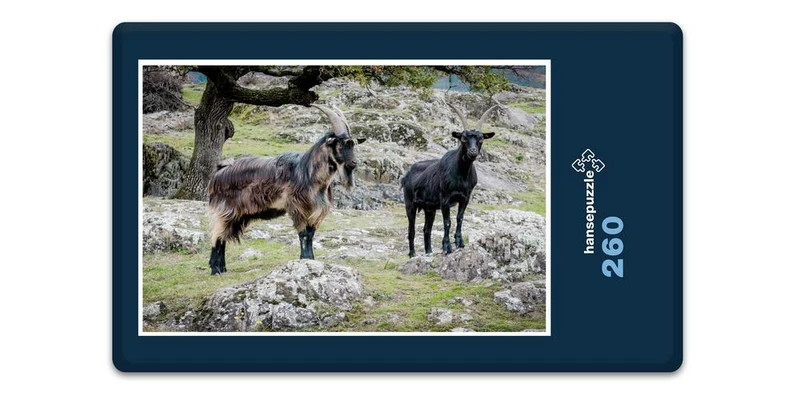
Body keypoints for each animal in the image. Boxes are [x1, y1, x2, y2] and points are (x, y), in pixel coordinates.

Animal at [206, 105, 365, 275]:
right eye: (341, 144)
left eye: (353, 144)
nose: (354, 163)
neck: (308, 173)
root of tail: (218, 173)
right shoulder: (297, 208)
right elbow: (303, 235)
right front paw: (304, 260)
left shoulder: (314, 211)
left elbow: (311, 235)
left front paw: (311, 259)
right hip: (225, 211)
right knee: (217, 236)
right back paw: (216, 269)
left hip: (238, 215)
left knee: (222, 237)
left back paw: (222, 269)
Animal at [401, 102, 499, 257]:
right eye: (463, 138)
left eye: (481, 139)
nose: (472, 152)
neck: (461, 175)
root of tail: (406, 175)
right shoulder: (445, 199)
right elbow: (447, 222)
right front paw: (447, 247)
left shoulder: (465, 198)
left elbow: (459, 218)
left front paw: (460, 242)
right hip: (410, 203)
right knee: (411, 229)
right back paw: (412, 254)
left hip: (429, 208)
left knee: (427, 229)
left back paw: (429, 252)